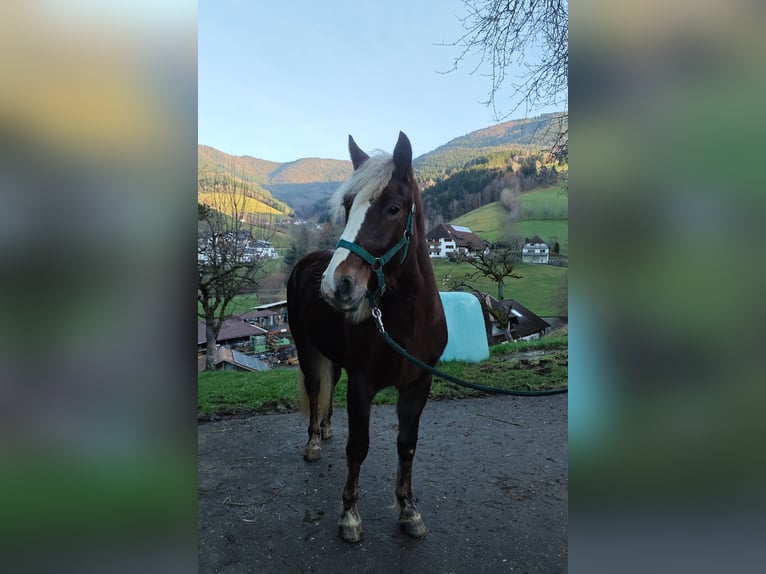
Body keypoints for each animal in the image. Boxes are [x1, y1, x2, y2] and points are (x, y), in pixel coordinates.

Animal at [286, 132, 448, 543]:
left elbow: (407, 446)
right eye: (347, 206)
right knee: (316, 388)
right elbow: (358, 448)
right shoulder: (362, 385)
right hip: (305, 347)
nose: (336, 285)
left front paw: (409, 511)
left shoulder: (418, 385)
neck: (407, 324)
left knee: (329, 385)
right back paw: (314, 441)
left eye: (393, 208)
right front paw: (349, 517)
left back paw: (326, 429)